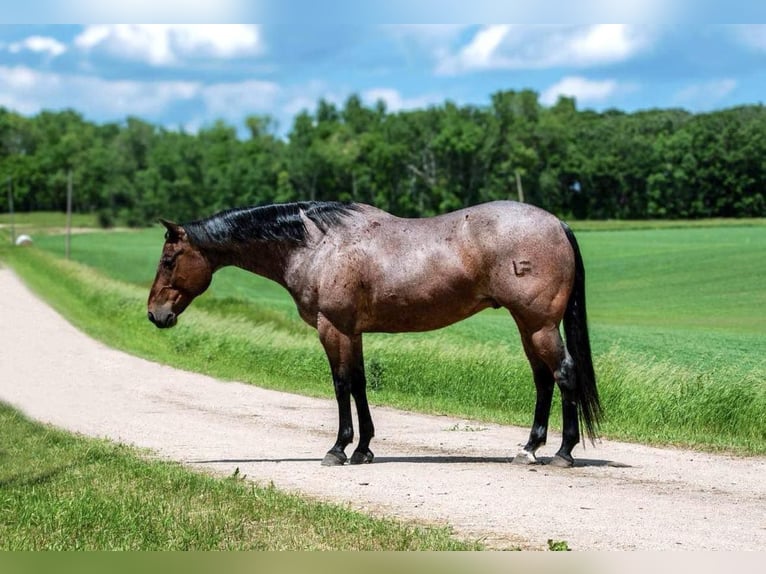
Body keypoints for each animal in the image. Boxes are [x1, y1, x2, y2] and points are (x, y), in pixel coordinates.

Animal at [147, 200, 601, 468]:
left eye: (169, 260)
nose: (155, 314)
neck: (317, 244)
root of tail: (557, 223)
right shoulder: (353, 331)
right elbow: (360, 383)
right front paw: (364, 448)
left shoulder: (332, 327)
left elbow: (340, 384)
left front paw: (338, 449)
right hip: (527, 326)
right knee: (543, 380)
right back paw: (528, 449)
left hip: (539, 324)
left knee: (563, 373)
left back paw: (563, 453)